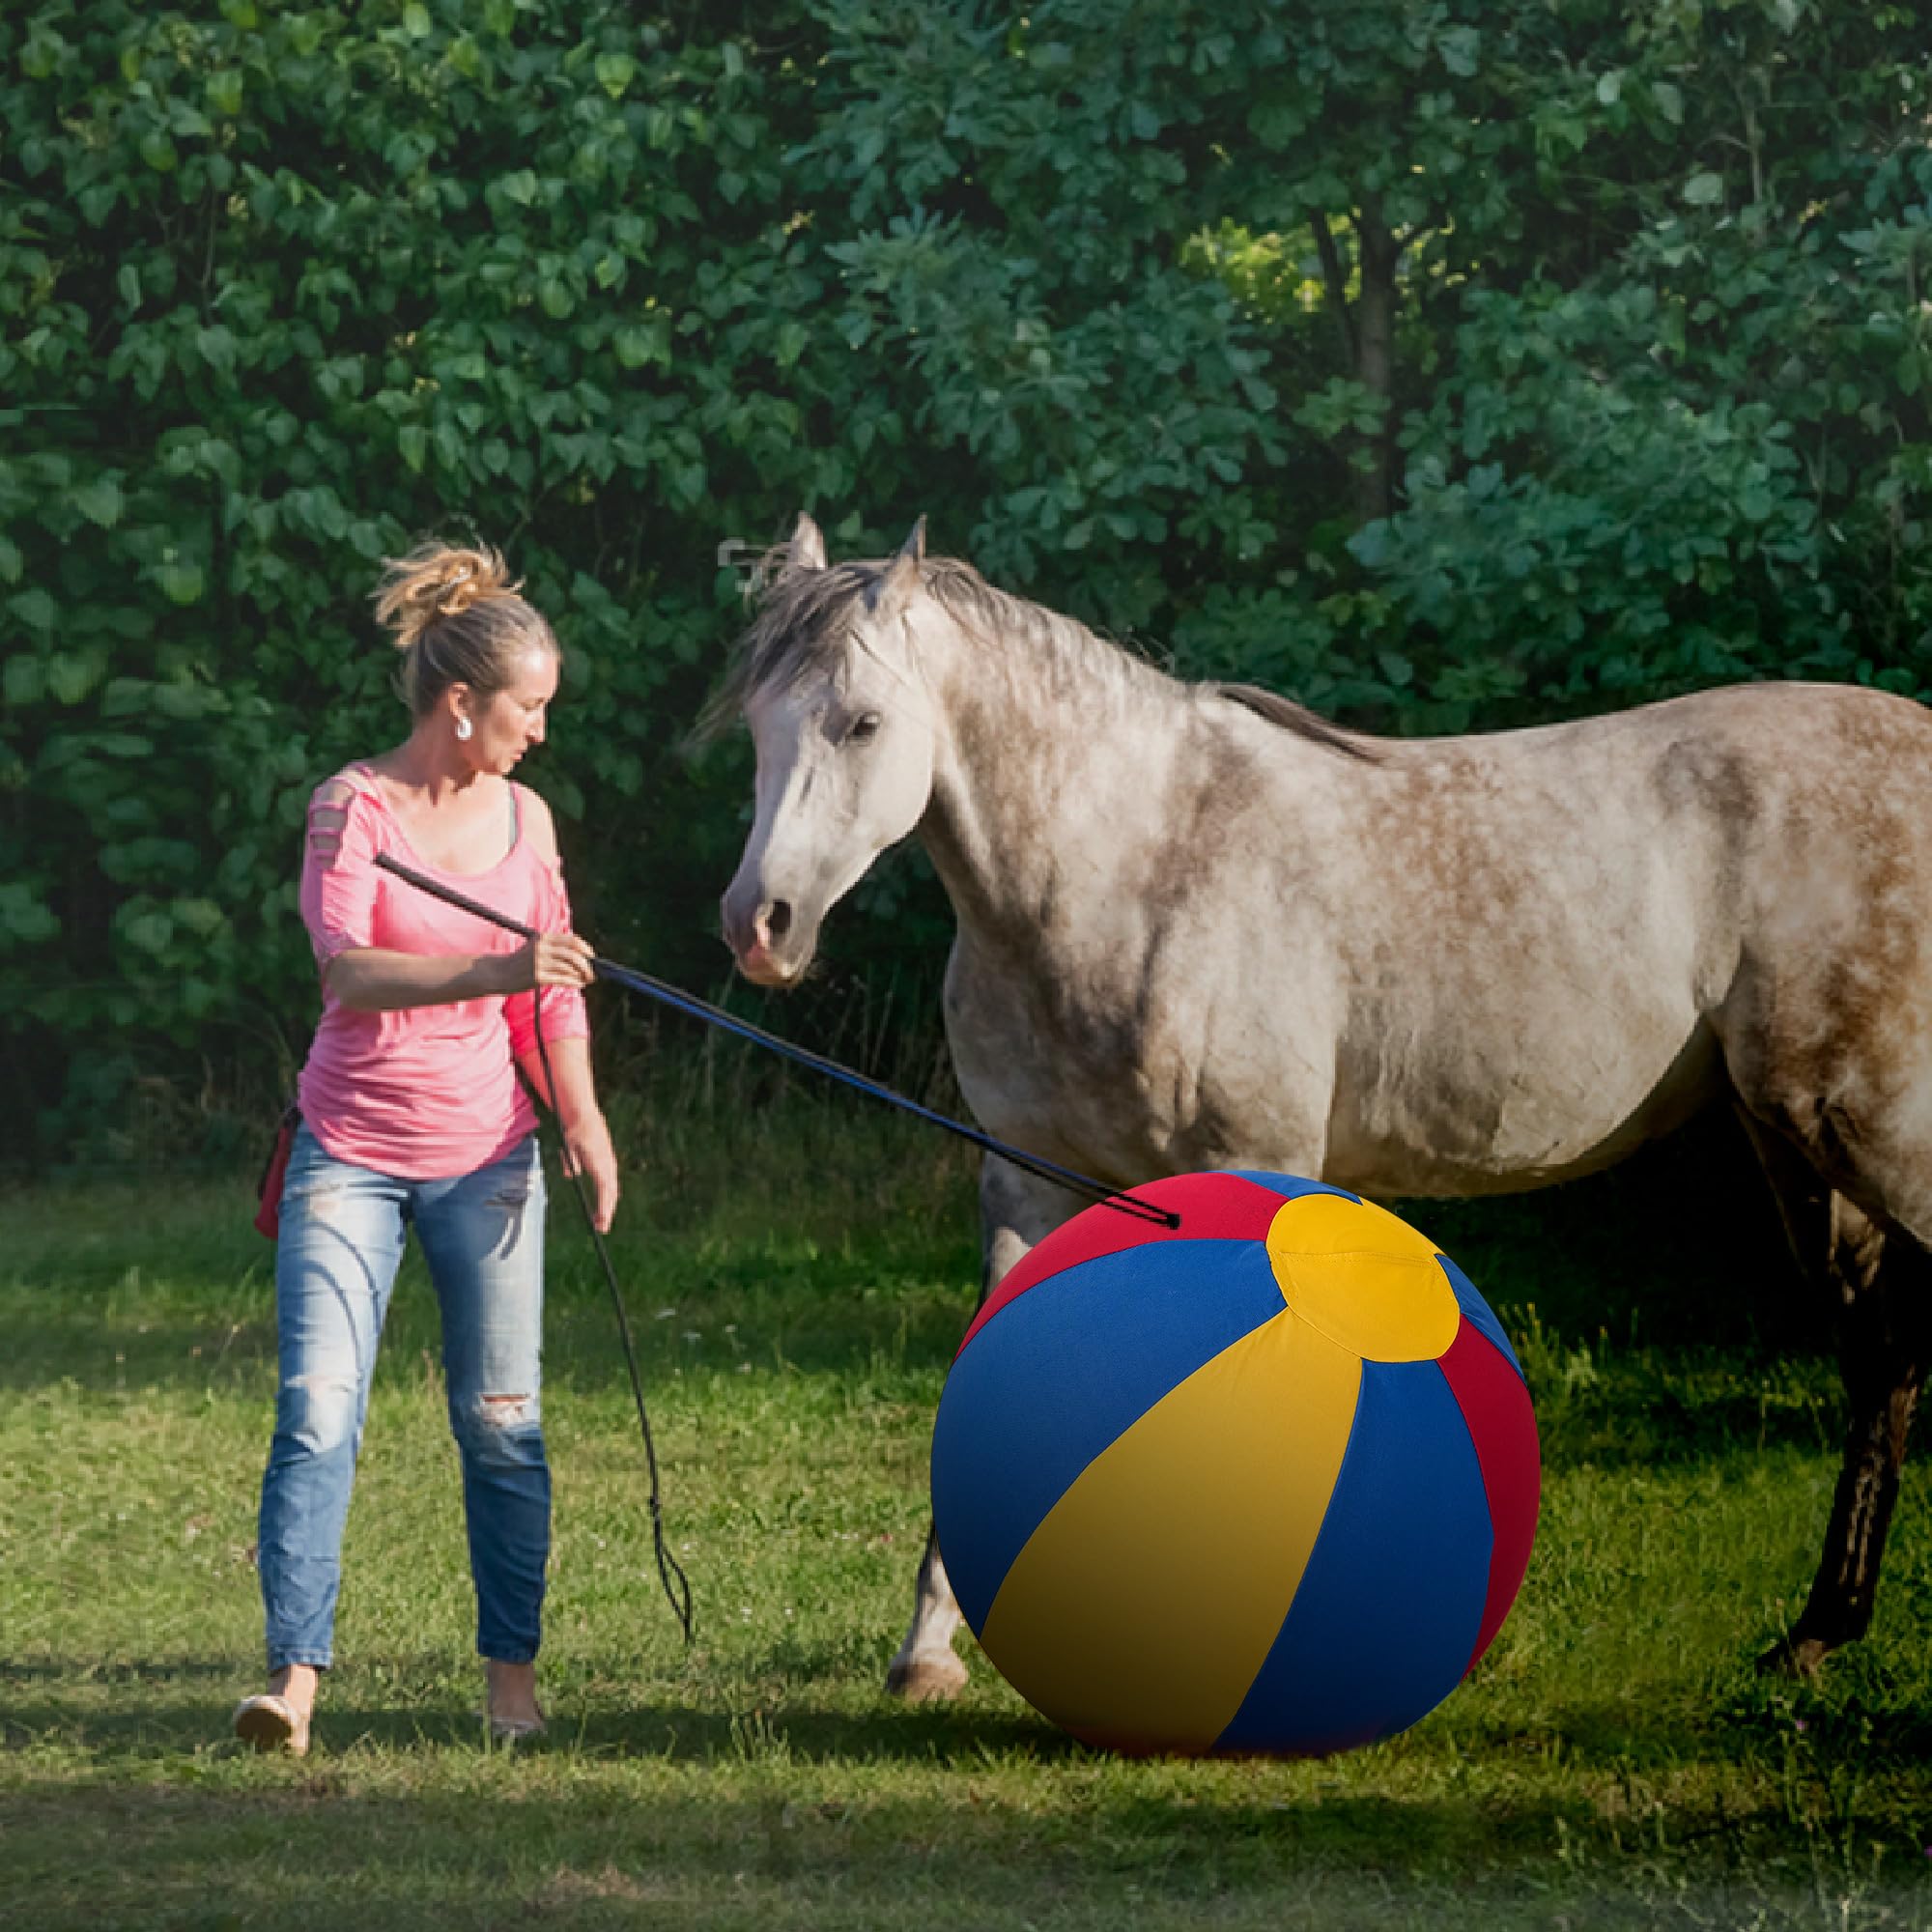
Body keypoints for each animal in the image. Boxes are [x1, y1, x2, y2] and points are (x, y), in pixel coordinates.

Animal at [714, 511, 1932, 1700]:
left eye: (863, 722)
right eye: (758, 726)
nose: (758, 924)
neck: (1132, 868)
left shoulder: (1251, 1162)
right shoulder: (1026, 1179)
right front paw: (928, 1652)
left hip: (1866, 1131)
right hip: (1801, 1153)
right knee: (1877, 1365)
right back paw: (1813, 1635)